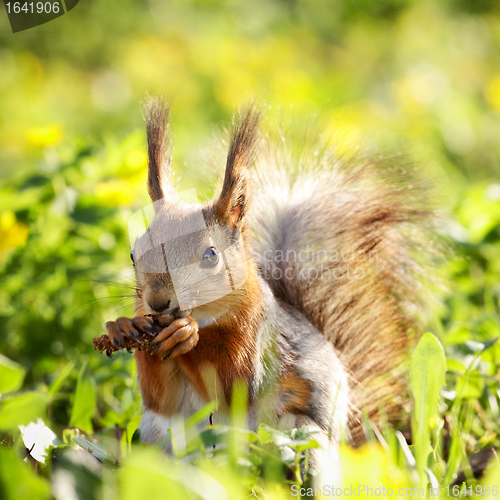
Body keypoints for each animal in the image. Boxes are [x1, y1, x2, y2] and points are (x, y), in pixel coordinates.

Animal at [103, 96, 436, 476]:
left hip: (303, 437)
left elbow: (232, 383)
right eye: (133, 253)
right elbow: (162, 398)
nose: (158, 302)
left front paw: (186, 335)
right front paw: (122, 326)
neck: (206, 316)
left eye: (210, 256)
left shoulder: (258, 334)